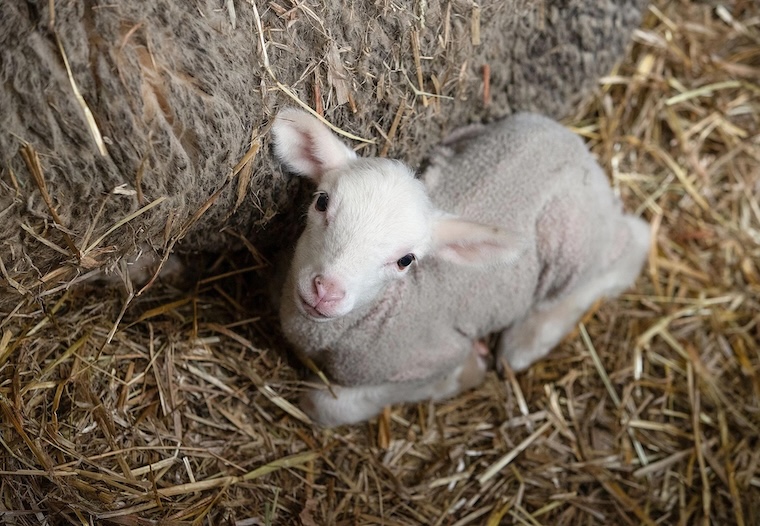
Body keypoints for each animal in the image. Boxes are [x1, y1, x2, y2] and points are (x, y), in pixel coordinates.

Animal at [272, 108, 650, 427]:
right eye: (322, 202)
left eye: (406, 260)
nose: (326, 291)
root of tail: (578, 146)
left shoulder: (432, 357)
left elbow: (324, 405)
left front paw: (465, 373)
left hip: (574, 236)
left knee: (629, 247)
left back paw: (524, 342)